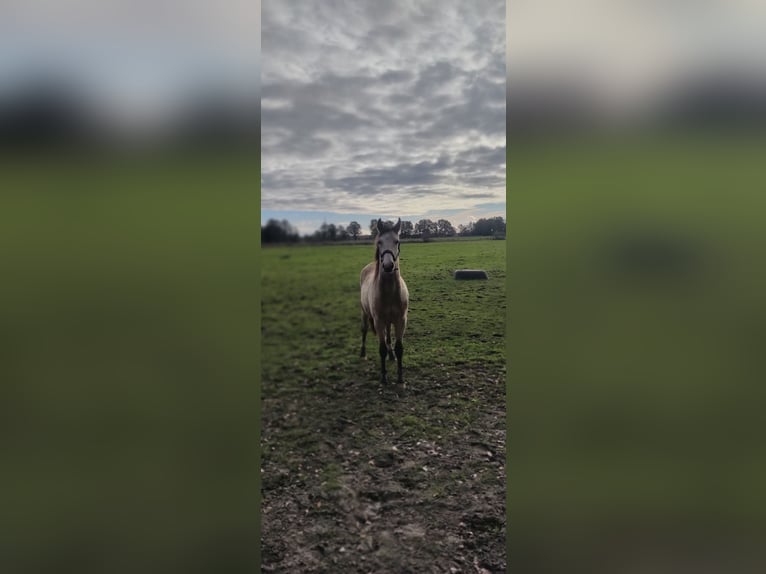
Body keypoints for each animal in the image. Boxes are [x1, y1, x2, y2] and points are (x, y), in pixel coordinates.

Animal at [362, 218, 412, 384]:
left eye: (397, 241)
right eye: (379, 242)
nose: (388, 266)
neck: (390, 292)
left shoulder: (401, 320)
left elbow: (399, 348)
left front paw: (400, 377)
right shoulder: (378, 321)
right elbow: (382, 349)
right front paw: (383, 378)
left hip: (389, 320)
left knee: (388, 336)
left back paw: (391, 356)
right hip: (365, 313)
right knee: (364, 330)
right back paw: (362, 353)